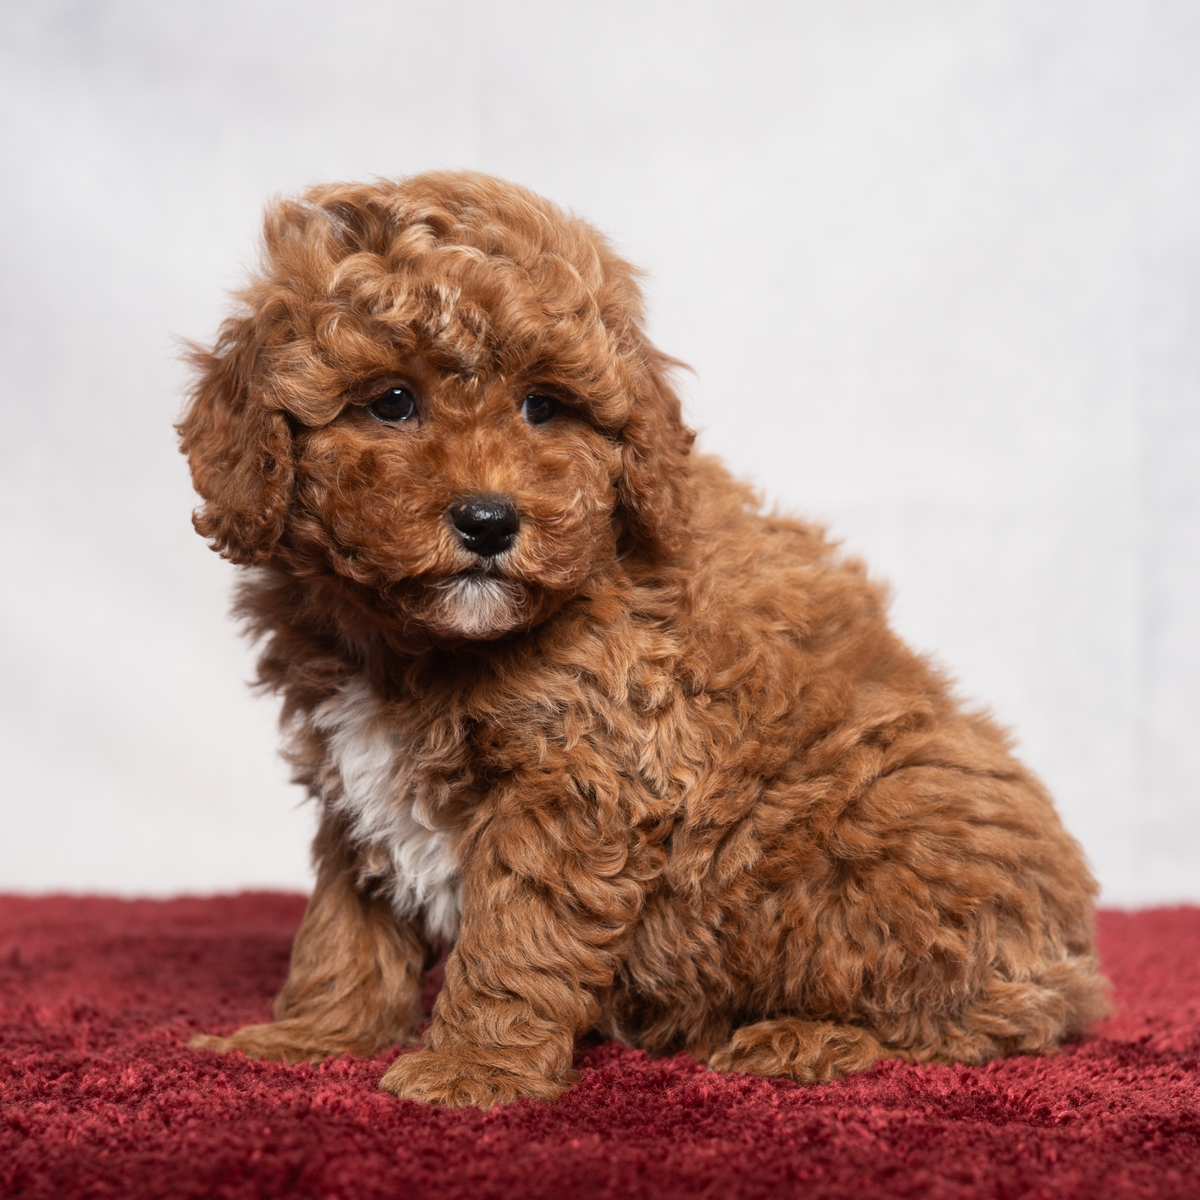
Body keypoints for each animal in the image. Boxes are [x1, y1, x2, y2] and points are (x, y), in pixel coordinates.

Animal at [180, 171, 1108, 1108]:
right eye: (393, 402)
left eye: (544, 406)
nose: (489, 521)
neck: (424, 644)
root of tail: (1066, 951)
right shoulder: (354, 779)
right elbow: (346, 926)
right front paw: (316, 1034)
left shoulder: (584, 777)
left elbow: (515, 937)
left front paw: (474, 1067)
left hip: (891, 827)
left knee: (984, 1016)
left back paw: (810, 1037)